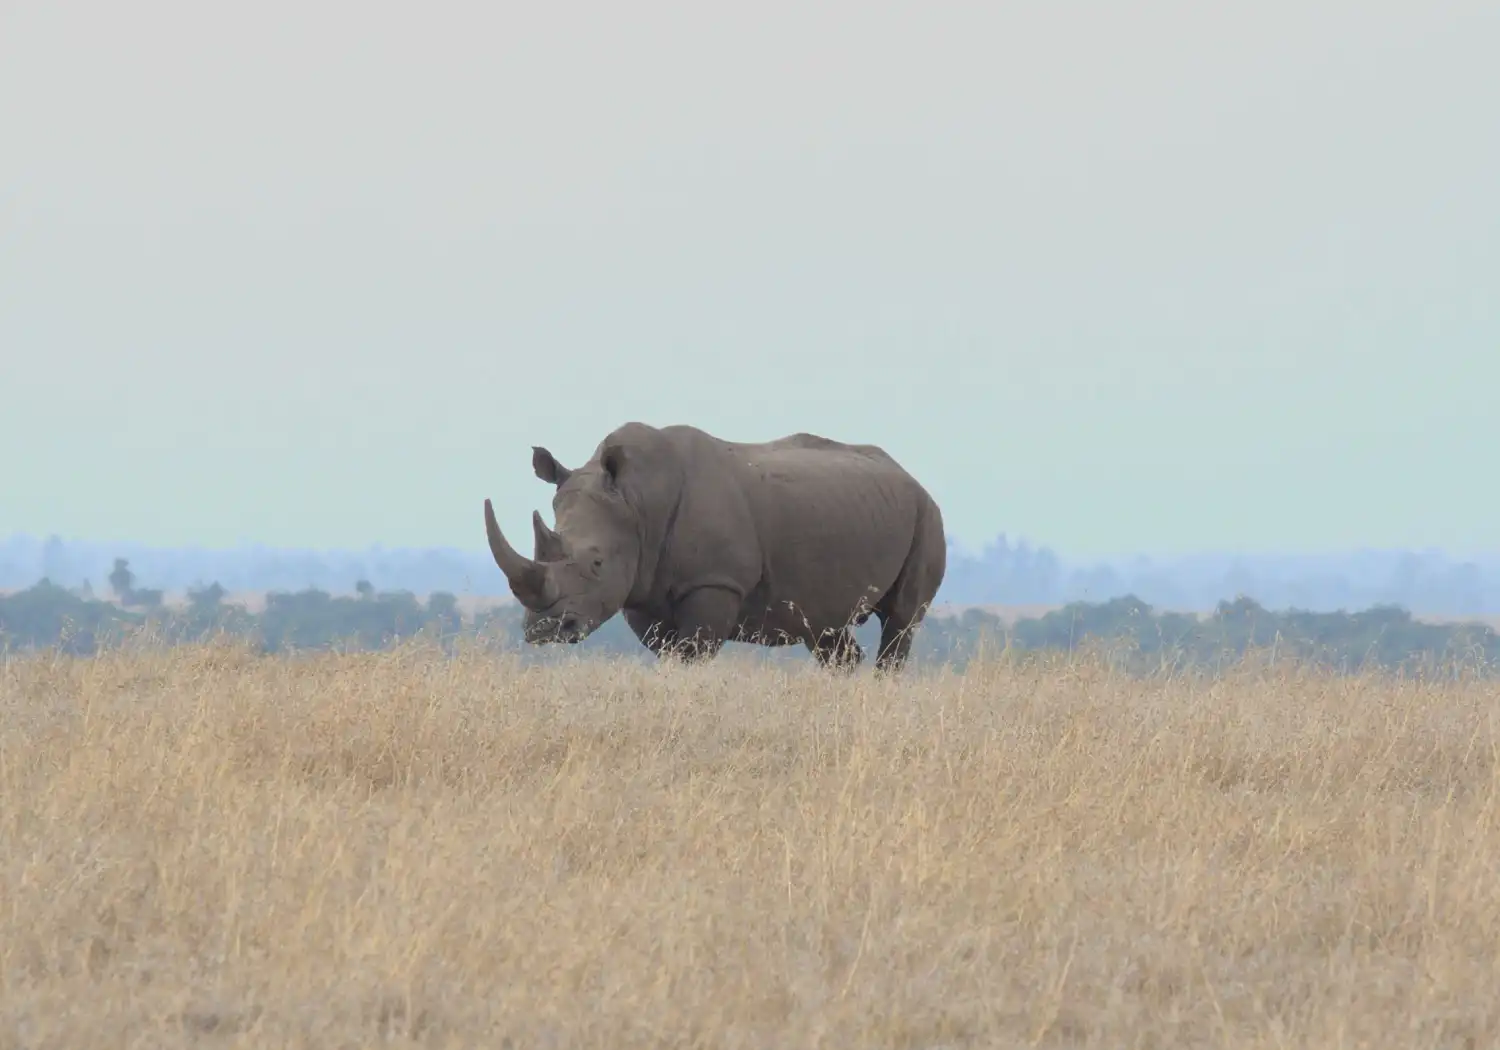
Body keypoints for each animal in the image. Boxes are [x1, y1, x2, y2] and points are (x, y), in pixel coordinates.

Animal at [482, 421, 947, 672]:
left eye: (596, 562)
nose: (544, 631)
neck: (636, 500)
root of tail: (911, 476)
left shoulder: (715, 582)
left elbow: (692, 654)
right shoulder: (643, 589)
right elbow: (670, 654)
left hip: (927, 515)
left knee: (901, 621)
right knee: (825, 631)